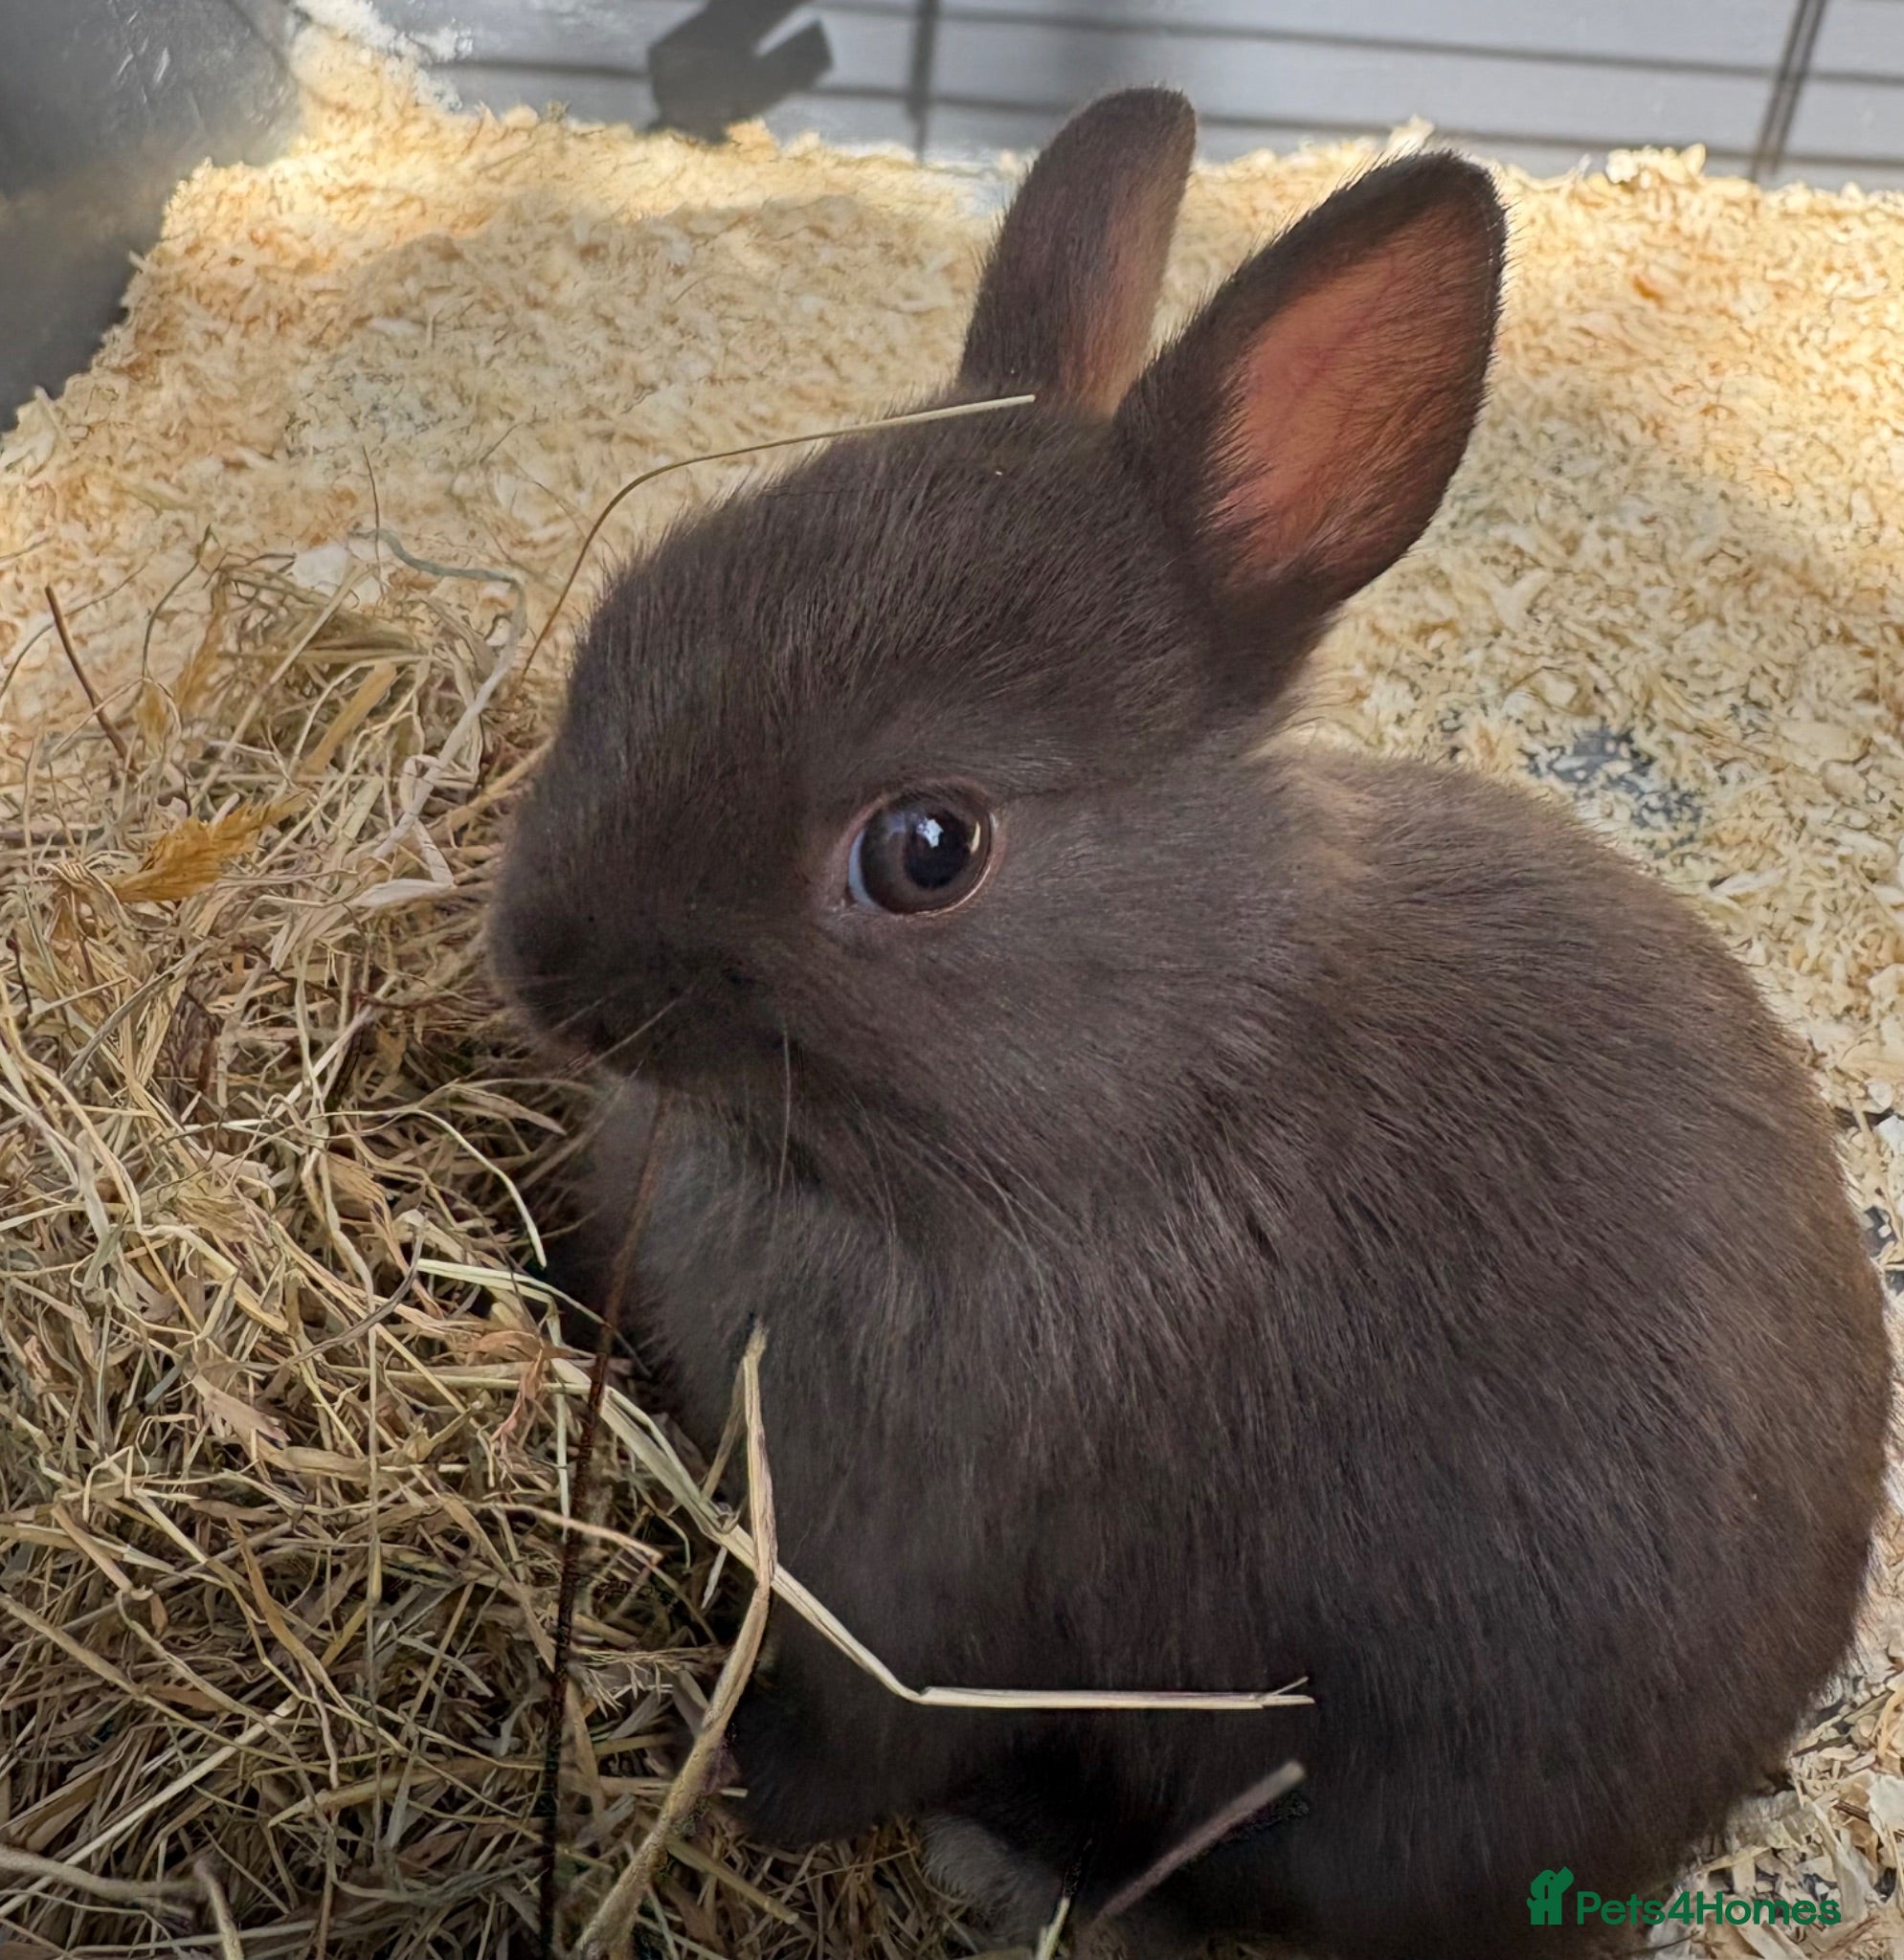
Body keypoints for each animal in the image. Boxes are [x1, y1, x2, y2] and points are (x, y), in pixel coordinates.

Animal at [490, 88, 1891, 1960]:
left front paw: (733, 1792)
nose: (538, 962)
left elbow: (860, 1731)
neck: (1156, 1098)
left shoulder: (914, 1590)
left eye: (925, 850)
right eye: (644, 601)